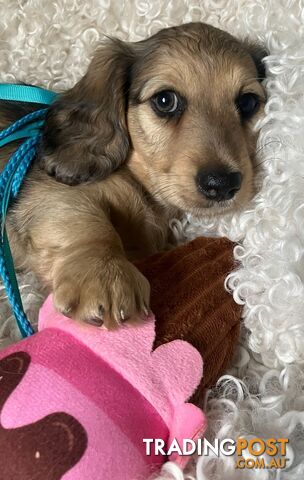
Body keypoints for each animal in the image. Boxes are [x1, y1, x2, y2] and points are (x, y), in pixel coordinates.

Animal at [0, 22, 266, 330]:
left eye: (247, 102)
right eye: (165, 100)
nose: (221, 185)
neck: (140, 184)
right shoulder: (47, 193)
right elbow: (85, 220)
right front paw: (104, 273)